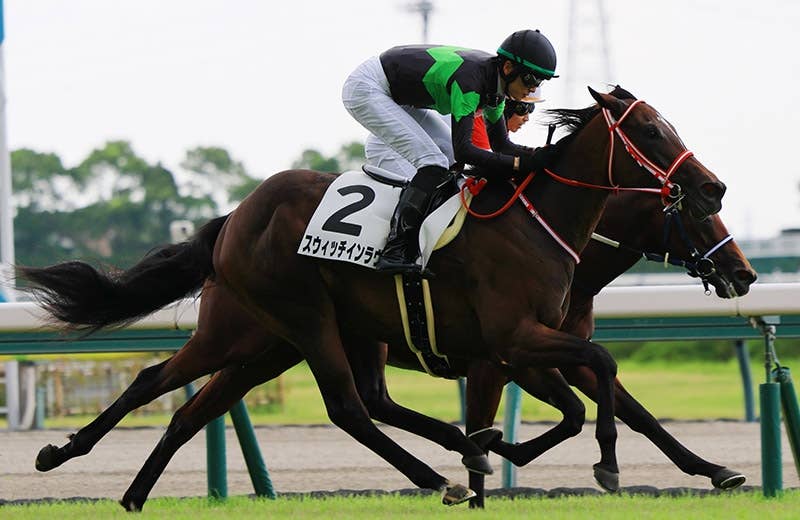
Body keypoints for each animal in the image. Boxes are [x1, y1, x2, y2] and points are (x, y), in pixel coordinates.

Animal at [20, 87, 729, 509]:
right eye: (651, 130)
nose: (712, 187)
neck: (537, 223)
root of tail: (234, 217)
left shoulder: (527, 352)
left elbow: (609, 398)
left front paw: (711, 469)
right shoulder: (511, 346)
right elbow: (598, 379)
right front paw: (589, 464)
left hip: (270, 344)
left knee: (186, 403)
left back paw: (121, 487)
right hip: (294, 318)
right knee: (346, 407)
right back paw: (439, 475)